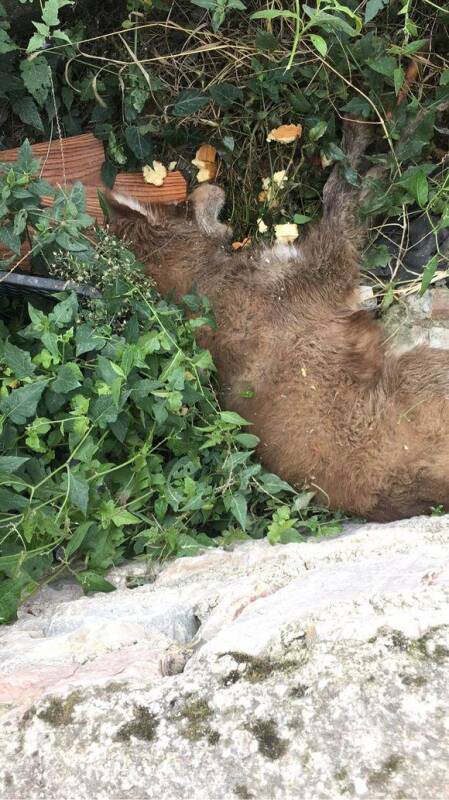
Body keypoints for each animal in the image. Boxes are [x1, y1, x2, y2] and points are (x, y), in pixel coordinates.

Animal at [106, 123, 449, 524]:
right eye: (179, 206)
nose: (211, 186)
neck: (199, 287)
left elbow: (341, 192)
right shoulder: (326, 265)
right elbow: (343, 197)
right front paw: (377, 150)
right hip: (418, 367)